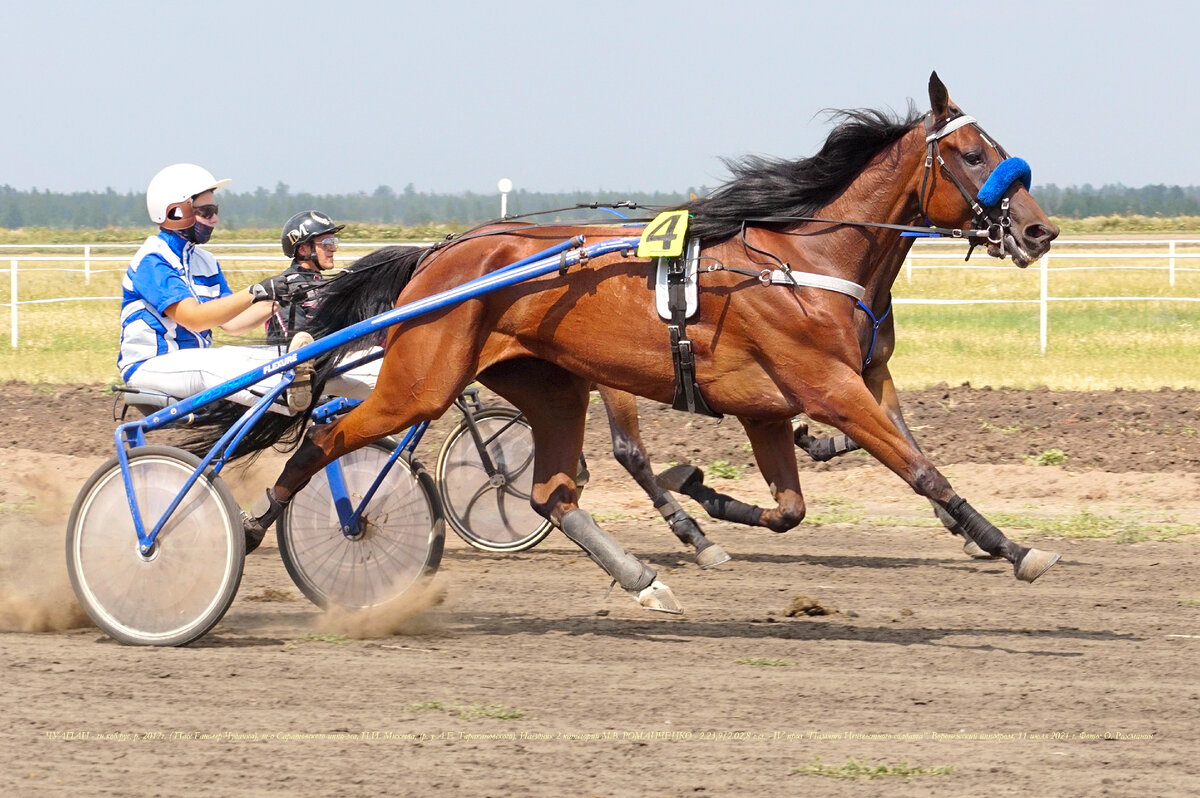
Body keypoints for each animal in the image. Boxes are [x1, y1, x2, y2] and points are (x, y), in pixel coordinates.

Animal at [229, 73, 1056, 609]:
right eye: (975, 155)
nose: (1038, 230)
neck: (808, 261)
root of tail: (440, 252)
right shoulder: (828, 386)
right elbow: (920, 470)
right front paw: (1014, 548)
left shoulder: (822, 391)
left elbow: (800, 501)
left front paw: (705, 495)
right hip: (424, 382)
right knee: (325, 441)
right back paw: (262, 524)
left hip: (549, 386)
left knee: (552, 490)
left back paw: (643, 577)